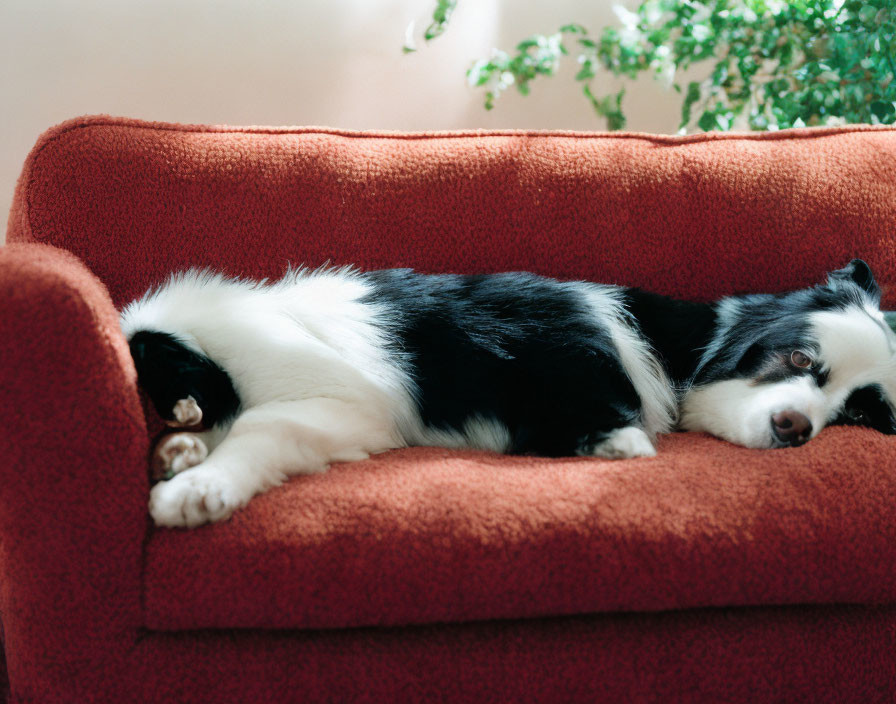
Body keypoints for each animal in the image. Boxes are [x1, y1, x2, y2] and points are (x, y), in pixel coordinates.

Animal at [122, 260, 896, 528]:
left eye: (861, 413)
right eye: (799, 358)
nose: (796, 427)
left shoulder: (337, 413)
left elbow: (261, 434)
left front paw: (197, 484)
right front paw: (190, 471)